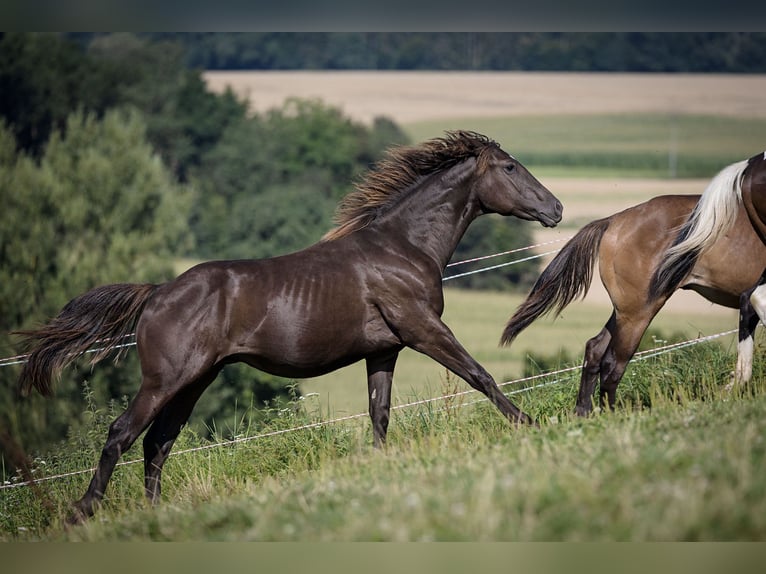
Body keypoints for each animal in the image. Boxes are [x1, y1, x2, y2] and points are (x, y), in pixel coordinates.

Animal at [13, 132, 564, 528]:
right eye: (510, 168)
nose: (555, 208)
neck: (403, 246)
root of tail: (157, 293)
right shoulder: (424, 330)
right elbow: (480, 375)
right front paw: (531, 425)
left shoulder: (384, 350)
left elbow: (380, 412)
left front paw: (379, 467)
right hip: (165, 380)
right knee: (122, 434)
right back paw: (82, 512)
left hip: (195, 381)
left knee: (157, 443)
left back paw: (156, 513)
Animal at [500, 158, 766, 418]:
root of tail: (614, 220)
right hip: (638, 313)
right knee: (613, 363)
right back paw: (611, 416)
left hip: (624, 312)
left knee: (595, 348)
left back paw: (583, 413)